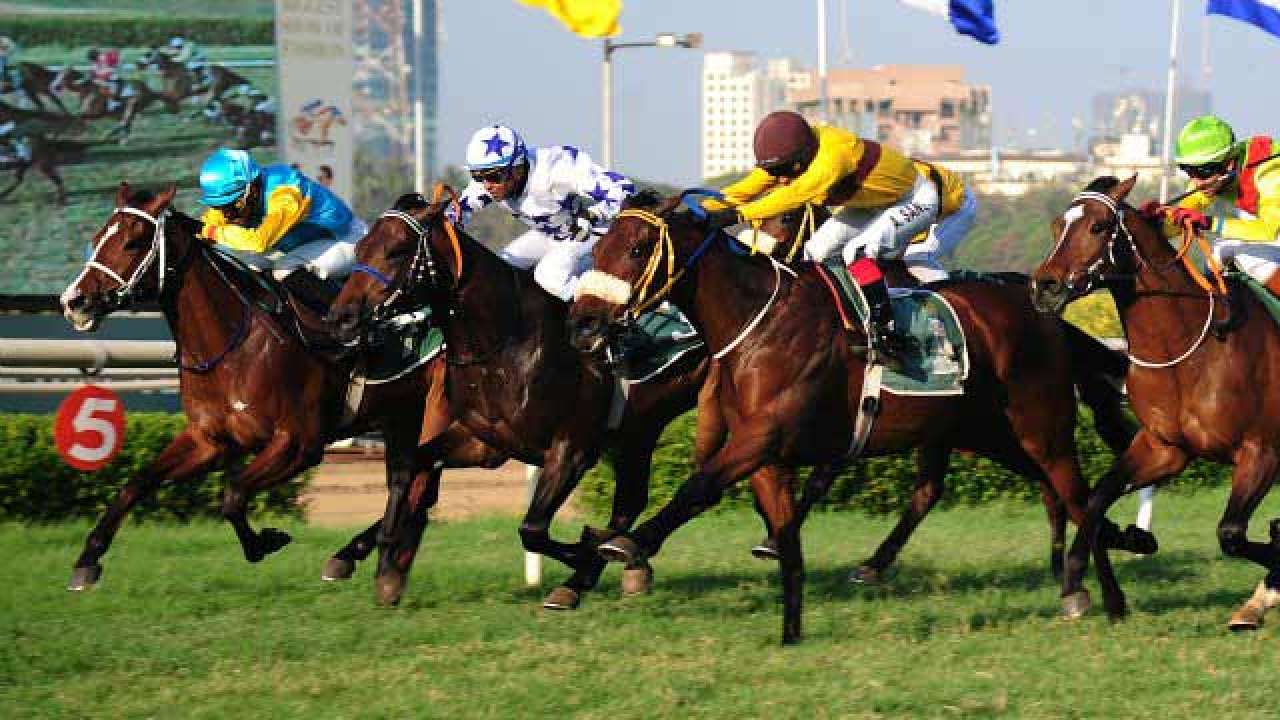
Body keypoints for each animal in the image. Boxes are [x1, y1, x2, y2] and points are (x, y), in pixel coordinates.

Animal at [57, 181, 501, 591]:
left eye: (132, 242)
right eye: (97, 238)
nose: (73, 301)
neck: (234, 343)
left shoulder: (298, 445)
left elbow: (233, 494)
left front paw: (264, 542)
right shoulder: (208, 440)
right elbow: (136, 483)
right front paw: (87, 559)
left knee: (420, 486)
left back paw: (353, 556)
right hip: (406, 418)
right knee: (419, 487)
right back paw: (349, 555)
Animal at [570, 189, 1141, 638]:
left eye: (638, 248)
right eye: (597, 247)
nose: (583, 323)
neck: (757, 323)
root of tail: (1038, 305)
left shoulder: (761, 438)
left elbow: (699, 487)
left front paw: (627, 544)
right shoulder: (768, 456)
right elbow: (785, 539)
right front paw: (791, 633)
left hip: (1041, 429)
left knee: (1077, 496)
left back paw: (1103, 596)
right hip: (984, 430)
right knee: (1018, 491)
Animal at [1034, 175, 1280, 627]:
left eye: (1098, 227)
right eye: (1058, 225)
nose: (1045, 286)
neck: (1193, 350)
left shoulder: (1261, 451)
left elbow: (1231, 534)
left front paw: (1269, 582)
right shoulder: (1165, 447)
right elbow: (1097, 496)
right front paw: (1077, 581)